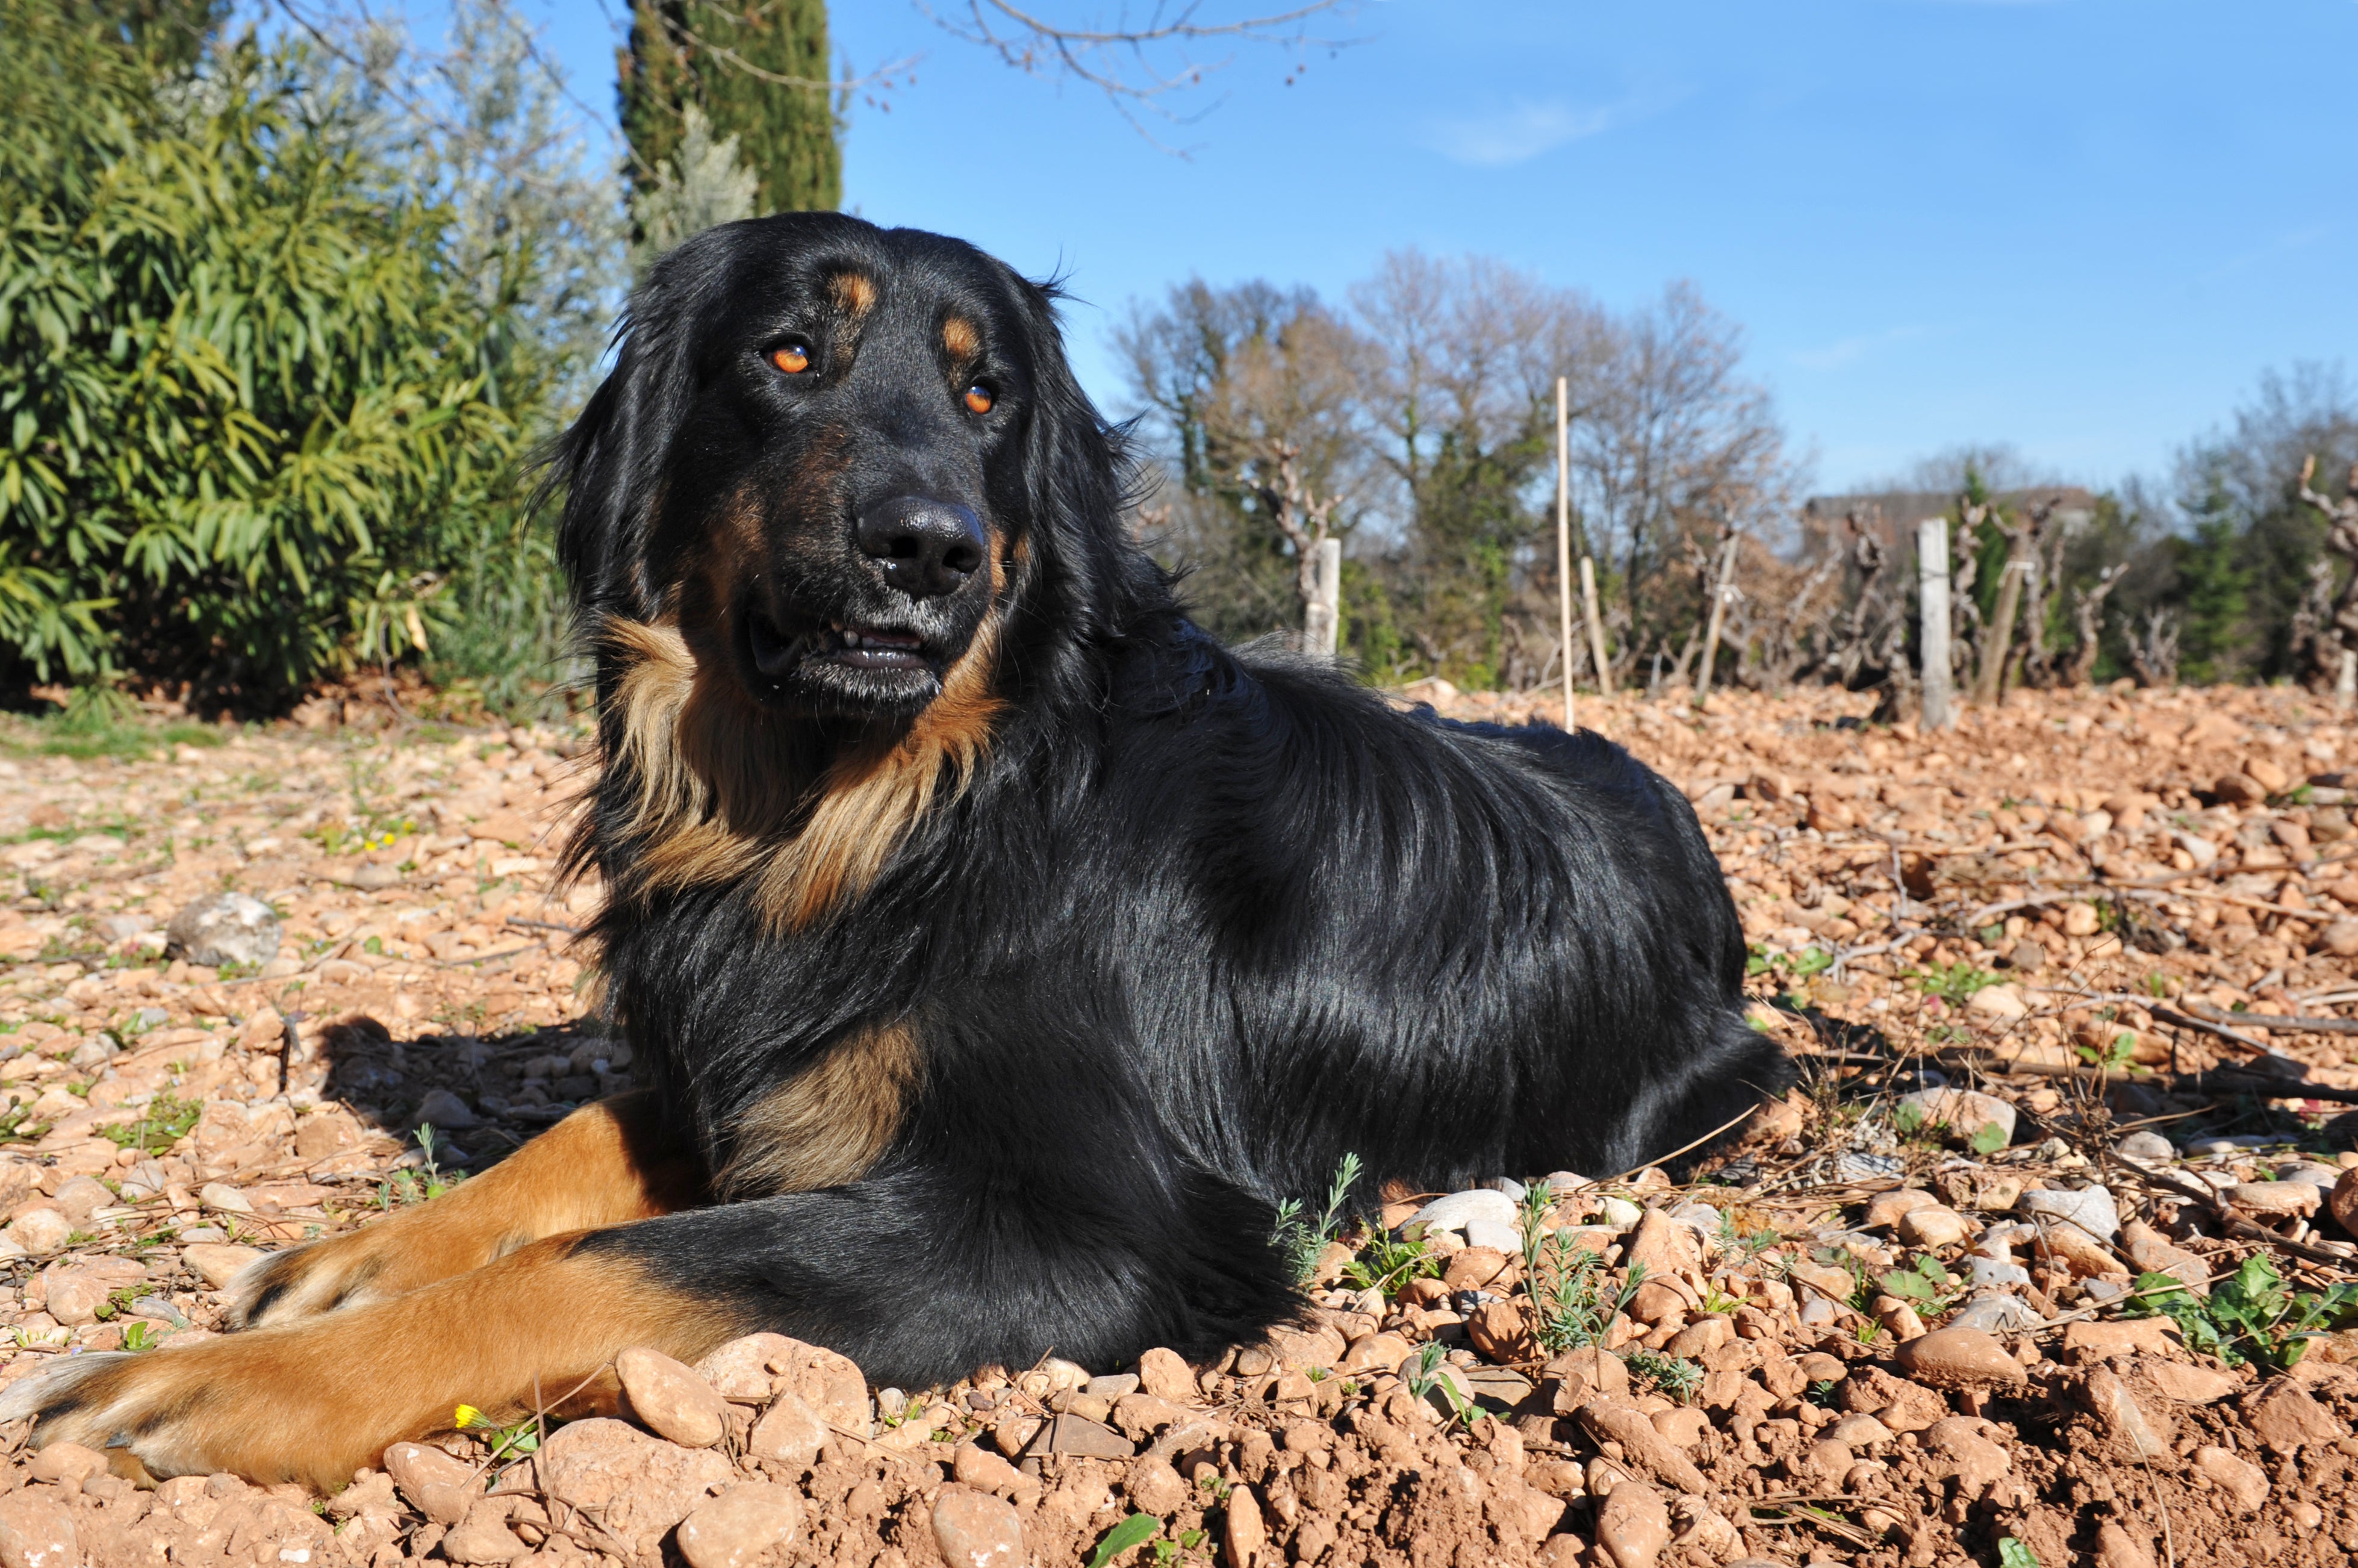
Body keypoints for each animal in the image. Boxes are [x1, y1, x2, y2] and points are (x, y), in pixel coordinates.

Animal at [0, 214, 1782, 1490]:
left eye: (988, 394)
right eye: (790, 353)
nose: (928, 550)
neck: (892, 812)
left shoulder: (1097, 1232)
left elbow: (604, 1263)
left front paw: (231, 1386)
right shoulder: (746, 1045)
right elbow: (575, 1142)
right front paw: (357, 1260)